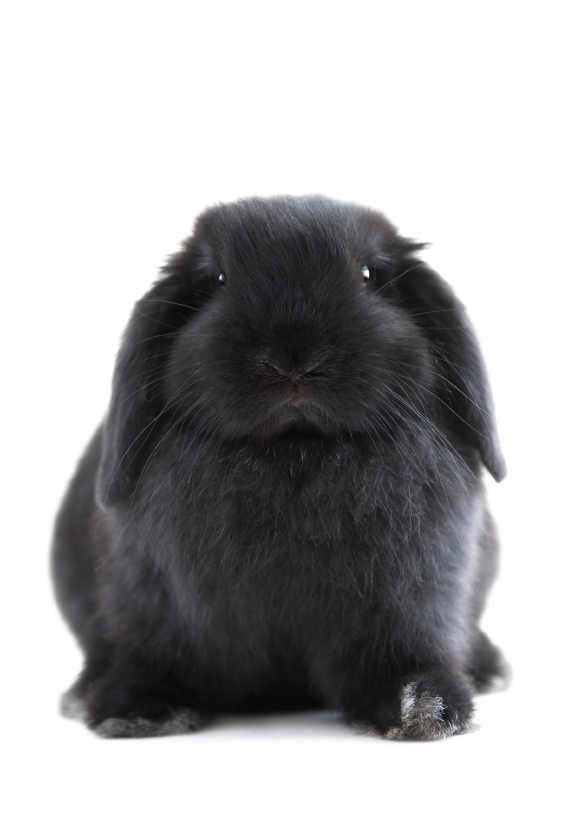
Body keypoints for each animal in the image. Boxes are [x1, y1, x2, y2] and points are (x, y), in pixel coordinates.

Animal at [52, 195, 507, 739]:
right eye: (218, 279)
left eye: (369, 275)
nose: (294, 361)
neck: (295, 451)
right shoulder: (156, 598)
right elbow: (155, 650)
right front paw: (138, 707)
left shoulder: (412, 597)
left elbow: (403, 650)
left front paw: (422, 706)